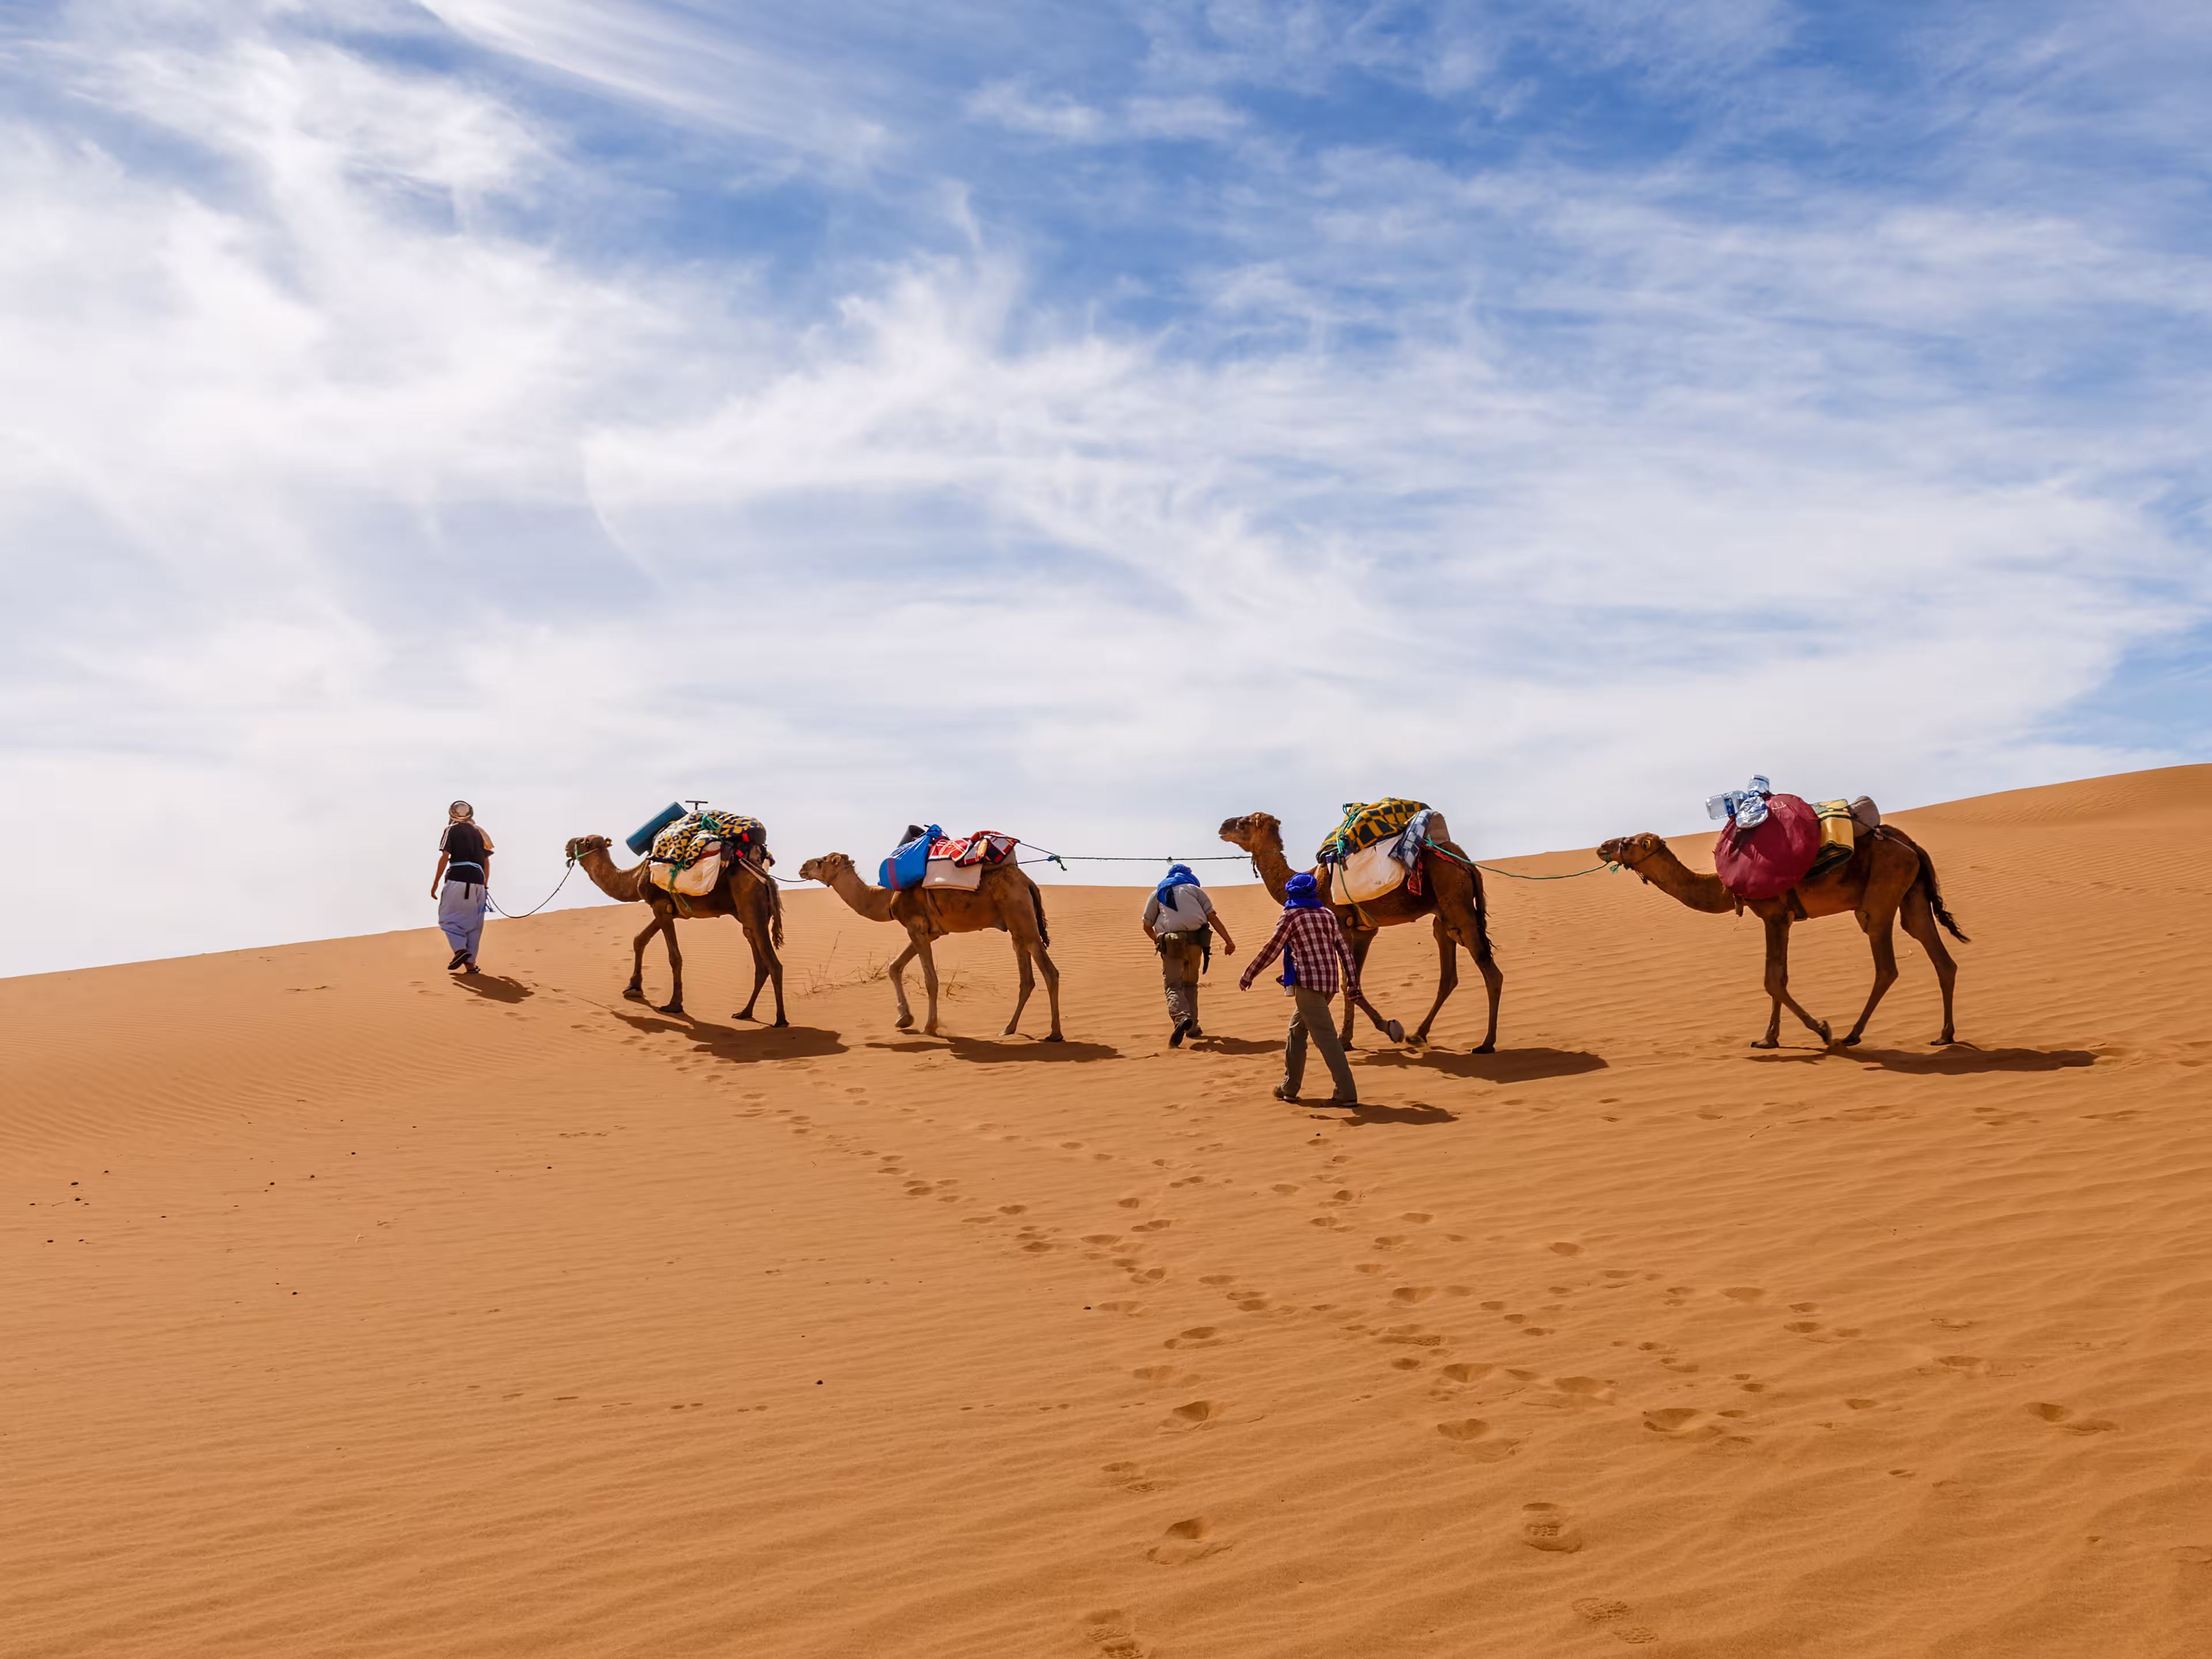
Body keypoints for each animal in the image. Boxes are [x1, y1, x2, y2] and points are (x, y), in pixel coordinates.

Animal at [564, 835, 787, 1024]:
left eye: (583, 841)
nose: (567, 845)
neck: (636, 877)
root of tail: (766, 879)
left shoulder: (660, 905)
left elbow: (674, 957)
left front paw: (674, 1005)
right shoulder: (667, 910)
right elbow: (639, 939)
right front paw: (633, 987)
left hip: (752, 907)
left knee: (774, 964)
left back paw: (780, 1020)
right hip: (746, 917)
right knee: (760, 963)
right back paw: (744, 1013)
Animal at [798, 852, 1063, 1041]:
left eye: (822, 861)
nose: (802, 867)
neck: (887, 899)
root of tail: (1028, 882)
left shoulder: (915, 926)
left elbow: (931, 980)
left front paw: (929, 1027)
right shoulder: (929, 932)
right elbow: (895, 967)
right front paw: (904, 1019)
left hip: (1021, 916)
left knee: (1050, 971)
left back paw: (1055, 1034)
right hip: (1016, 924)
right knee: (1027, 978)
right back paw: (1008, 1029)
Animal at [1218, 812, 1501, 1052]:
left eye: (1244, 822)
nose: (1222, 827)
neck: (1311, 881)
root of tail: (1467, 863)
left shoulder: (1342, 923)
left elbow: (1346, 982)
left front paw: (1373, 1032)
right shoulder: (1365, 930)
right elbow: (1353, 981)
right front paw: (1347, 1037)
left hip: (1458, 904)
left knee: (1491, 972)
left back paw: (1486, 1044)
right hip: (1444, 918)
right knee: (1449, 975)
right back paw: (1419, 1034)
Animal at [1595, 824, 1965, 1048]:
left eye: (1627, 842)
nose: (1601, 846)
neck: (1722, 884)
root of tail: (1912, 846)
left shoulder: (1772, 915)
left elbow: (1771, 980)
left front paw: (1823, 1030)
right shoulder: (1783, 920)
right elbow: (1781, 977)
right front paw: (1768, 1039)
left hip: (1882, 893)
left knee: (1886, 964)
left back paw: (1850, 1035)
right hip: (1912, 894)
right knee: (1938, 955)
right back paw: (1944, 1035)